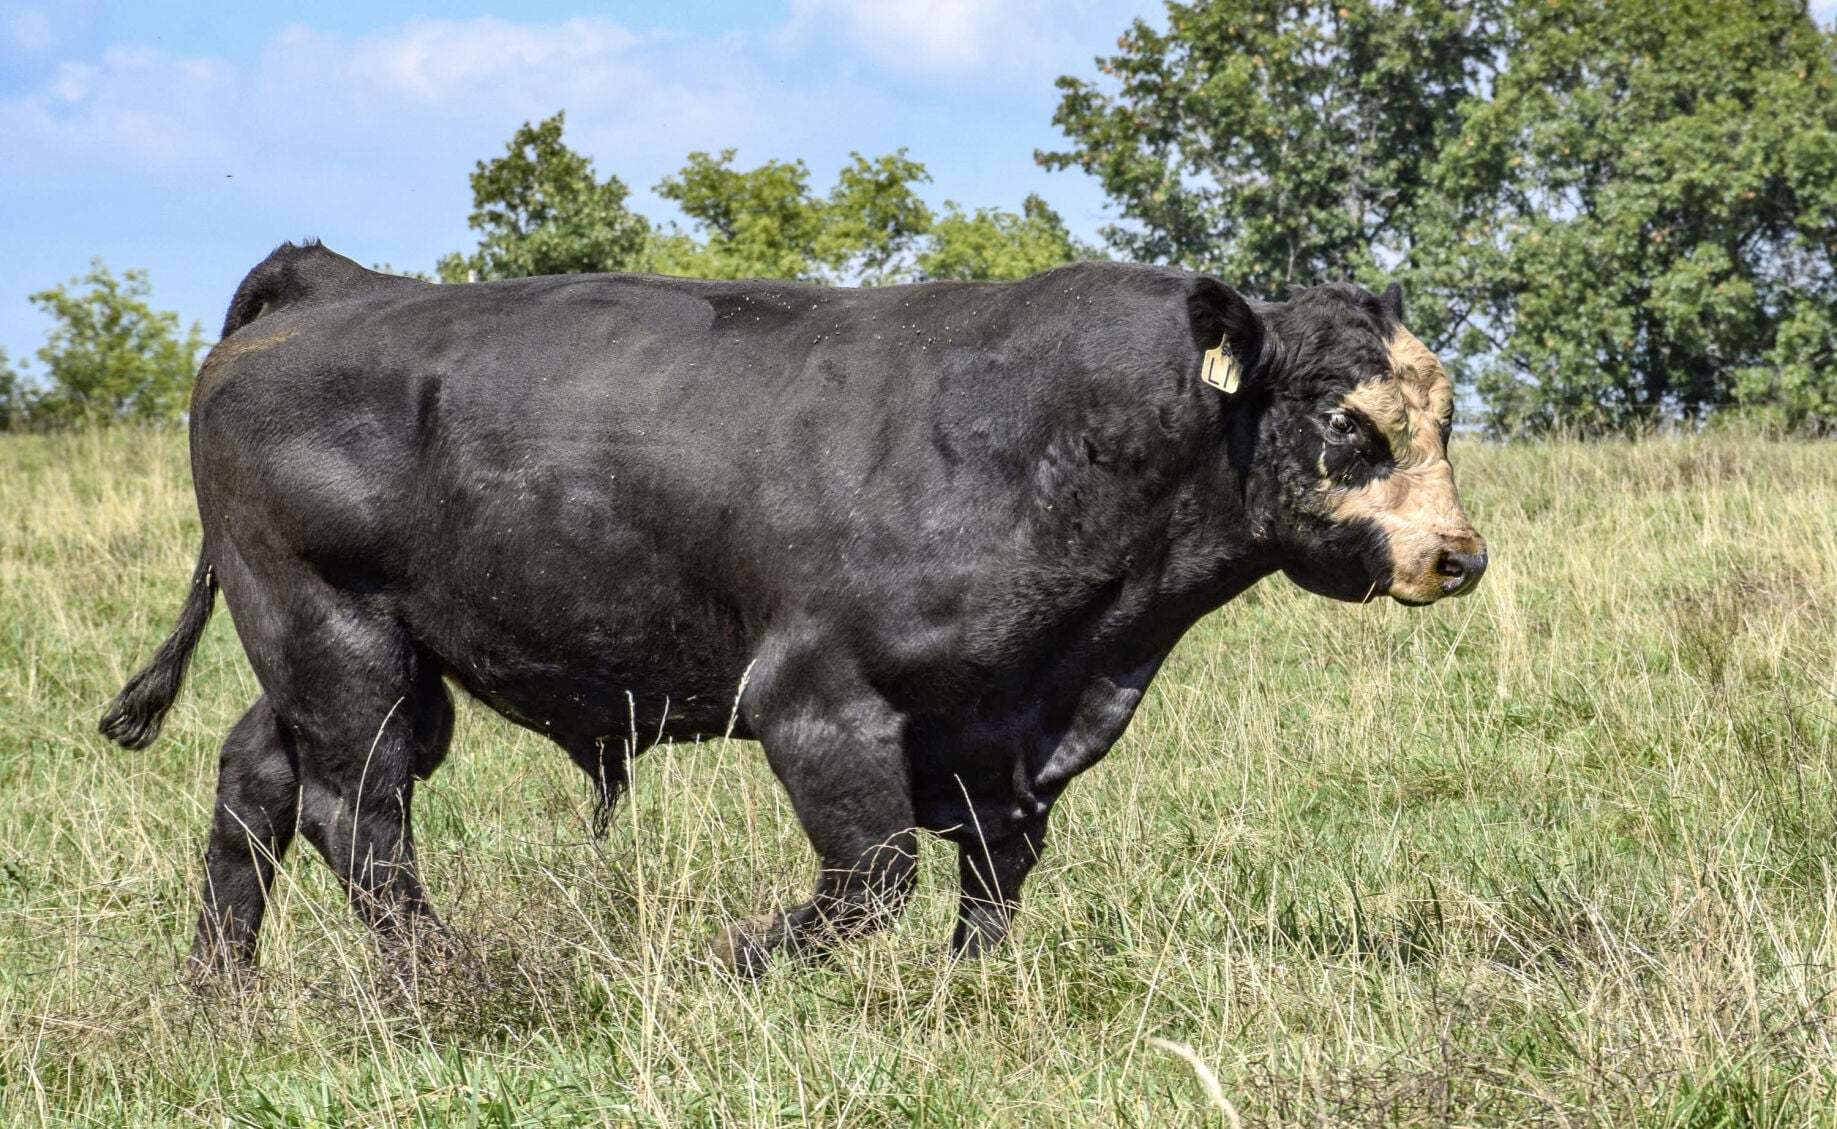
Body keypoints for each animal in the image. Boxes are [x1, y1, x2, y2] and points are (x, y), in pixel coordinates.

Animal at [99, 242, 1485, 978]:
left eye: (1447, 418)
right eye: (1348, 424)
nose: (1457, 555)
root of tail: (334, 281)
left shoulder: (1003, 737)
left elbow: (993, 876)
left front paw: (967, 995)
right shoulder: (818, 702)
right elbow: (872, 874)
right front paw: (732, 962)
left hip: (345, 659)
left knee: (258, 778)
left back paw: (222, 986)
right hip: (340, 643)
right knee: (360, 817)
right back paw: (441, 983)